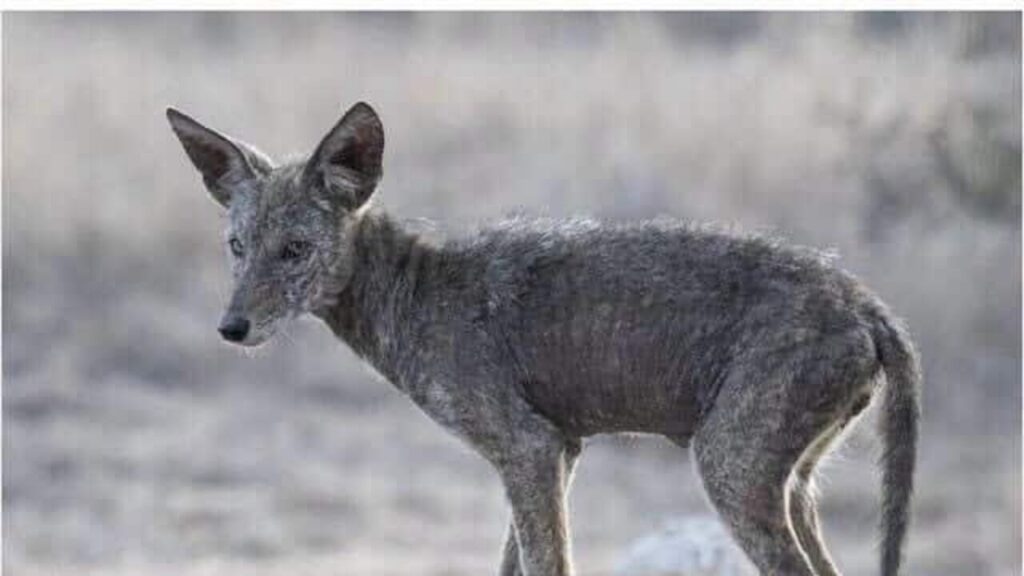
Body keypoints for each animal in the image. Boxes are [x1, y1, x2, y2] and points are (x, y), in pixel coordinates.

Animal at [167, 101, 920, 576]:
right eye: (237, 247)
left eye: (294, 250)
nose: (231, 328)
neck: (415, 291)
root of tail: (865, 303)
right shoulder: (554, 450)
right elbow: (515, 563)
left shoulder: (528, 449)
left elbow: (548, 563)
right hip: (791, 486)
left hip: (730, 469)